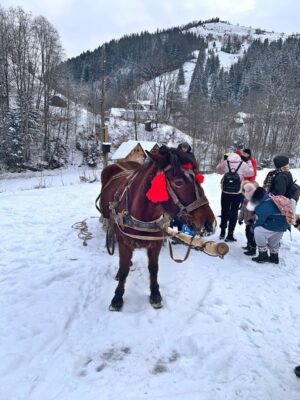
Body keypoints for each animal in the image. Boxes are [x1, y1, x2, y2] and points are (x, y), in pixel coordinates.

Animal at [100, 145, 216, 310]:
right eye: (179, 182)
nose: (209, 223)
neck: (142, 216)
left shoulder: (156, 244)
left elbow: (154, 269)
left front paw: (155, 293)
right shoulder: (124, 244)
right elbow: (123, 270)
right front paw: (117, 297)